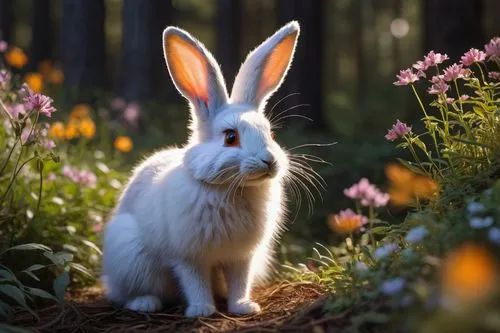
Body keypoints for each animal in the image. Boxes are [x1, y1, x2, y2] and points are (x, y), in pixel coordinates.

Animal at [102, 20, 300, 316]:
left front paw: (243, 307)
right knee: (126, 292)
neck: (231, 188)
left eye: (271, 134)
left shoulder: (242, 257)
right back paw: (145, 303)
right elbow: (195, 282)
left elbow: (240, 281)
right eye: (230, 137)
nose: (270, 162)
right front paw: (202, 310)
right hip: (129, 254)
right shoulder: (188, 257)